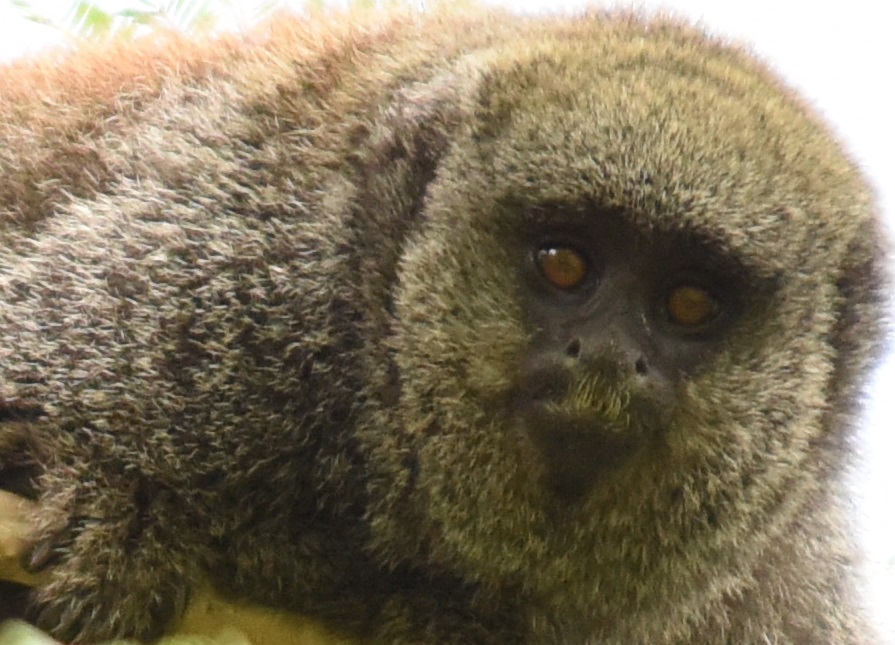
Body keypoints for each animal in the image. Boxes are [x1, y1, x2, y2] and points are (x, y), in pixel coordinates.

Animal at [0, 6, 887, 644]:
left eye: (688, 304)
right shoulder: (228, 287)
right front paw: (122, 506)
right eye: (563, 262)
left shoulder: (778, 589)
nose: (606, 357)